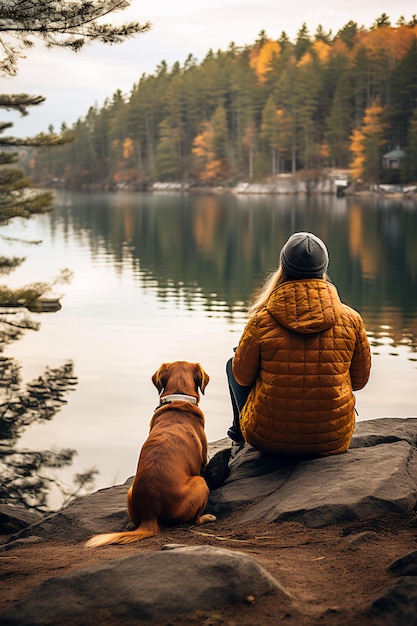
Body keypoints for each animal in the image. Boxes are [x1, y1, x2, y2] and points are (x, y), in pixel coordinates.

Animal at [84, 360, 214, 544]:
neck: (178, 400)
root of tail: (149, 513)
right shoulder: (203, 460)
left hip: (130, 493)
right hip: (200, 483)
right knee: (193, 520)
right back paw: (206, 517)